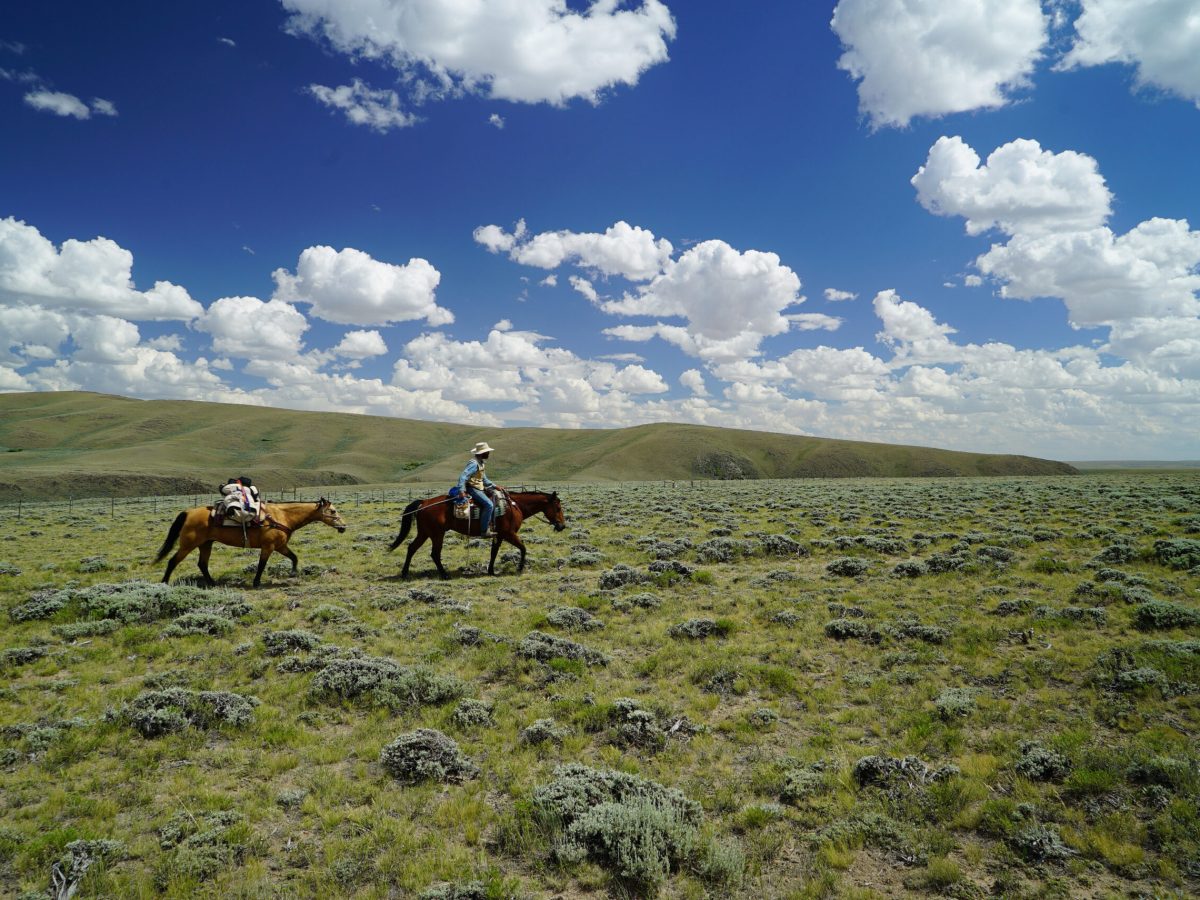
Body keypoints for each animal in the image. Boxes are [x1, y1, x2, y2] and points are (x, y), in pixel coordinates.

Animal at [155, 499, 347, 587]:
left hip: (206, 544)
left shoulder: (281, 546)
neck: (282, 517)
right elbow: (262, 565)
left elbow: (294, 557)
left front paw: (293, 573)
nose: (344, 526)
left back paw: (213, 583)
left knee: (202, 564)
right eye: (332, 511)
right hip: (188, 545)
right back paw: (164, 583)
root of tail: (188, 512)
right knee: (172, 561)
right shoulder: (269, 547)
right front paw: (256, 582)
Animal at [388, 489, 566, 579]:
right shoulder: (509, 534)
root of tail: (424, 503)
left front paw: (491, 571)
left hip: (425, 533)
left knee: (411, 548)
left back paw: (405, 574)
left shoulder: (499, 535)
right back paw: (444, 574)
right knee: (434, 553)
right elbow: (523, 548)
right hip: (436, 534)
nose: (562, 526)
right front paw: (520, 568)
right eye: (558, 508)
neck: (514, 505)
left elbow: (494, 552)